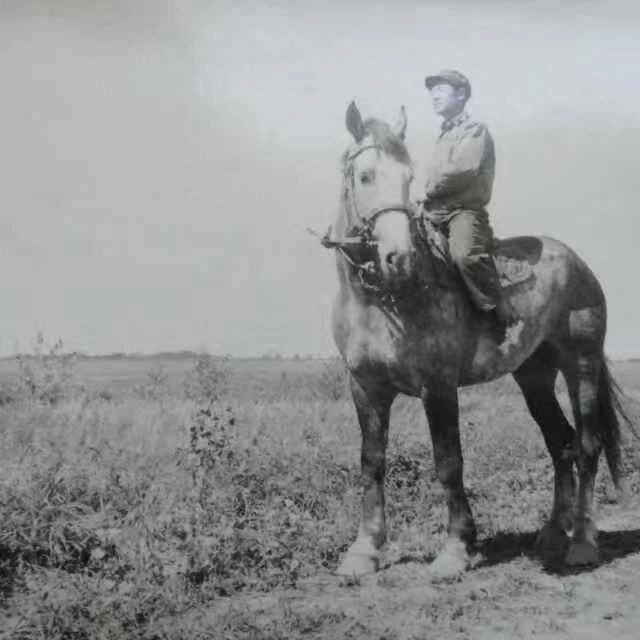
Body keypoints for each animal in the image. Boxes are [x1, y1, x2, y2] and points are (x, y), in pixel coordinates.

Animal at [323, 101, 629, 581]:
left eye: (409, 177)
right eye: (366, 175)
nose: (398, 258)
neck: (381, 299)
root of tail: (578, 264)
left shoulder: (437, 386)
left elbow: (449, 462)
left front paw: (455, 548)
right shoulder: (365, 387)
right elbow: (371, 462)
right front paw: (363, 550)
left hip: (581, 365)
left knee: (587, 446)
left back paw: (582, 541)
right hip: (534, 377)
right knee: (560, 444)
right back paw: (552, 533)